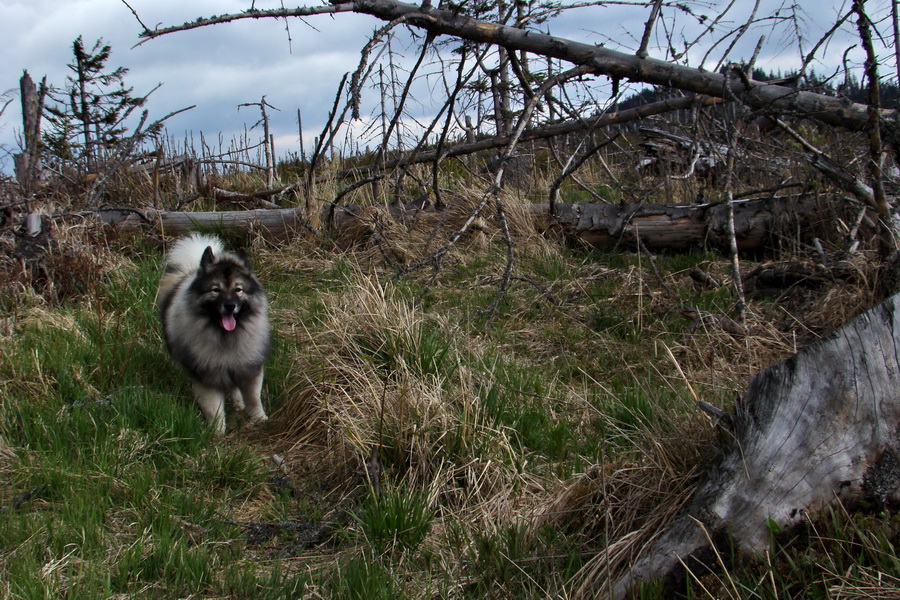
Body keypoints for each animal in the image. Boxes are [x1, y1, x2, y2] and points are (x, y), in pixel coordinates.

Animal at [158, 234, 270, 436]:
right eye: (216, 290)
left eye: (238, 289)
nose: (230, 306)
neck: (226, 337)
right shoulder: (206, 375)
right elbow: (213, 408)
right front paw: (217, 433)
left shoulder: (248, 367)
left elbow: (253, 398)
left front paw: (260, 419)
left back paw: (238, 404)